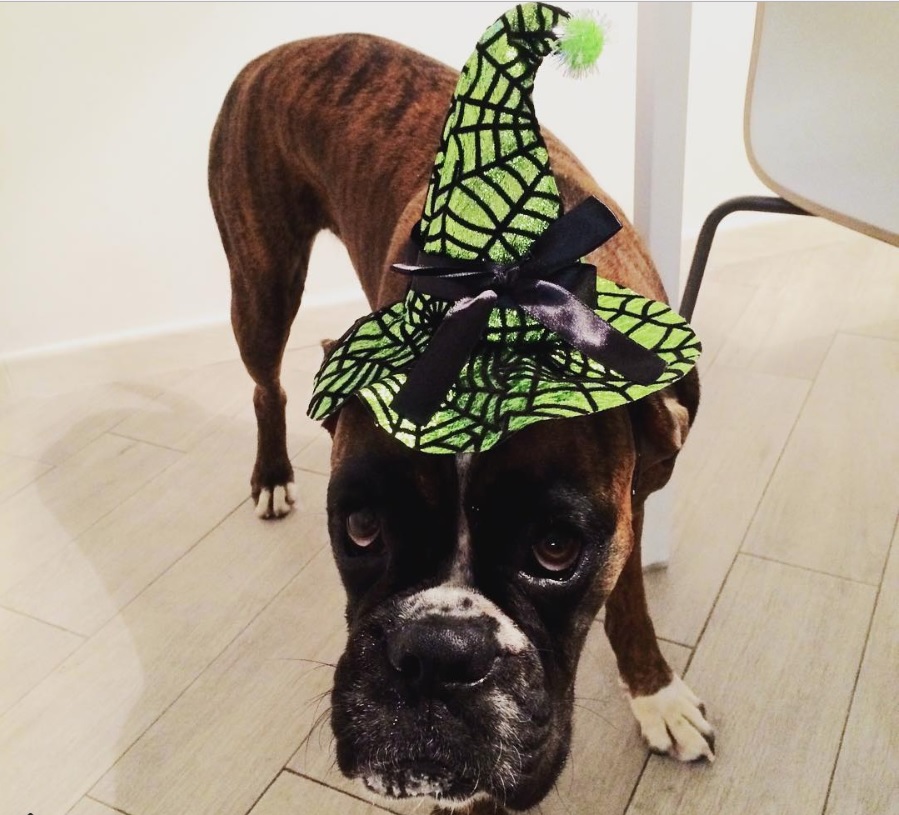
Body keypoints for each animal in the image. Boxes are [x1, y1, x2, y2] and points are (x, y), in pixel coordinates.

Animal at [207, 28, 712, 812]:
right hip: (260, 285)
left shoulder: (632, 498)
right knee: (267, 386)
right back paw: (271, 476)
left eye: (557, 547)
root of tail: (284, 48)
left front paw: (655, 693)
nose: (434, 654)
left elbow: (628, 596)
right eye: (359, 526)